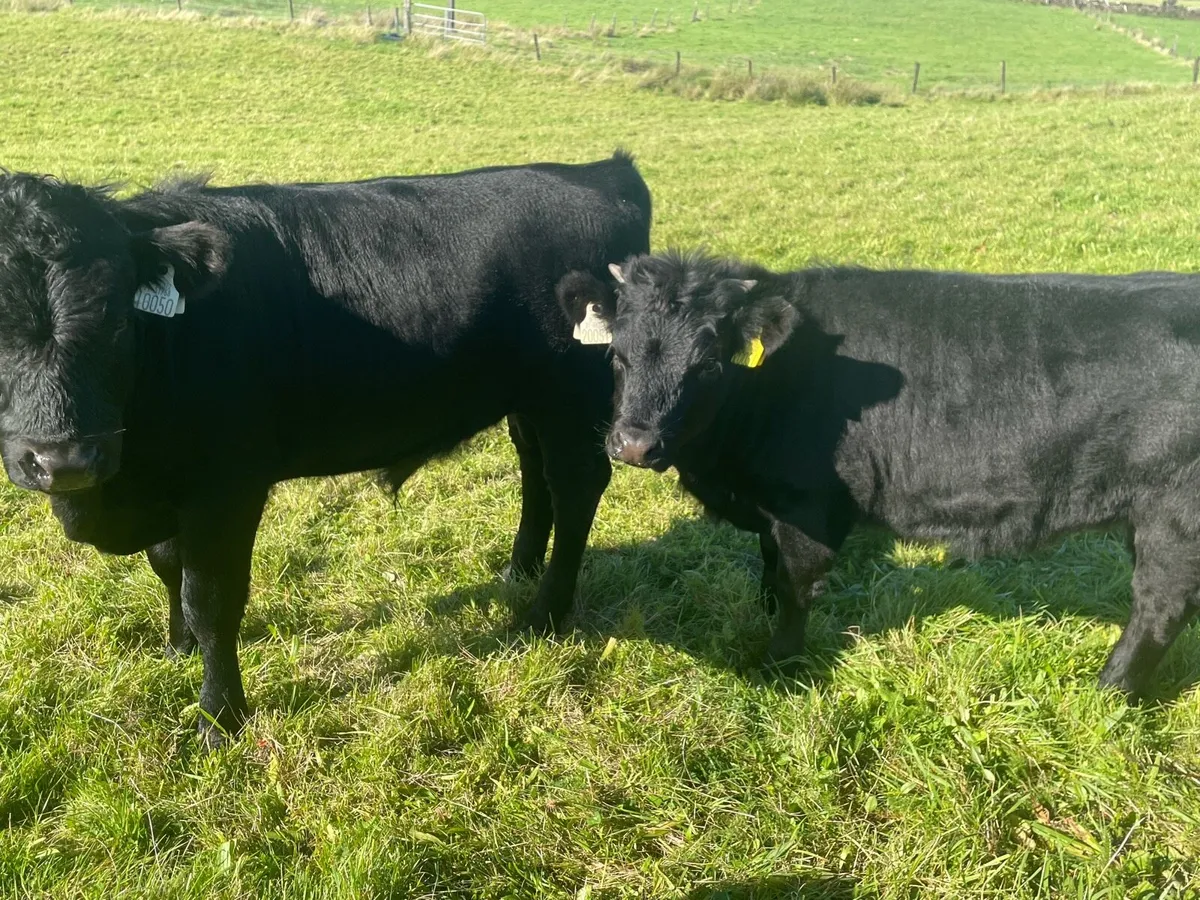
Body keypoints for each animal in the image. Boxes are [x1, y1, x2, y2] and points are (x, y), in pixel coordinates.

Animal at [0, 154, 651, 747]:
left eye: (116, 321)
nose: (63, 461)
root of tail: (603, 171)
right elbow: (168, 568)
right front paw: (176, 648)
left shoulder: (227, 488)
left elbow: (211, 599)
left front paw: (219, 717)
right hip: (527, 400)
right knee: (534, 470)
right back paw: (519, 570)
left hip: (571, 395)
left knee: (575, 486)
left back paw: (543, 616)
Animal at [558, 250, 1200, 698]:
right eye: (616, 353)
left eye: (710, 364)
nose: (634, 444)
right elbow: (767, 569)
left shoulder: (806, 509)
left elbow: (793, 586)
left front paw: (779, 664)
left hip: (1173, 515)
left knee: (1159, 605)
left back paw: (1109, 691)